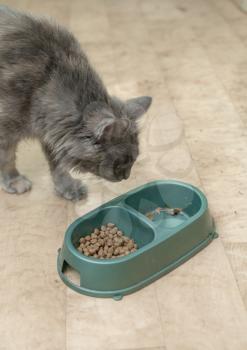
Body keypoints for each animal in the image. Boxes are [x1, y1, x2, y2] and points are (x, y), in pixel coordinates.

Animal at [0, 6, 151, 200]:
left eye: (134, 159)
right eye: (122, 161)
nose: (126, 176)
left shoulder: (50, 134)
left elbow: (58, 165)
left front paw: (67, 186)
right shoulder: (5, 130)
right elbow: (7, 158)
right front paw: (13, 180)